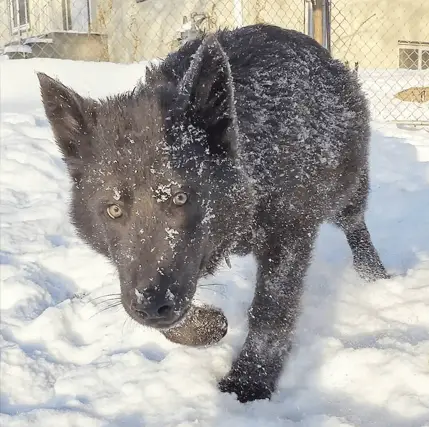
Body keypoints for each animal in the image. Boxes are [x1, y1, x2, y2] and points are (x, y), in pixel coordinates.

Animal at [39, 24, 388, 404]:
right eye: (114, 209)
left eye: (180, 197)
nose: (152, 305)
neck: (254, 161)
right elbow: (174, 319)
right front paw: (210, 325)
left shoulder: (289, 235)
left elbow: (271, 311)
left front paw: (250, 379)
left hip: (346, 191)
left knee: (356, 226)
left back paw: (375, 276)